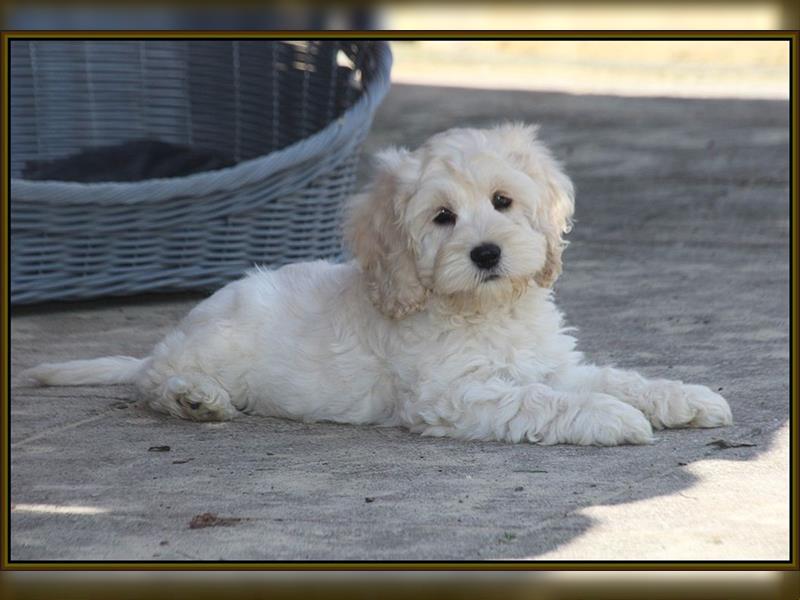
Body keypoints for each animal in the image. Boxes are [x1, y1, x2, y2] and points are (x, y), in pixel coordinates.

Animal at [25, 123, 732, 446]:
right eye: (442, 217)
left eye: (503, 201)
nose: (486, 253)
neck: (486, 310)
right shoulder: (454, 394)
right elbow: (543, 401)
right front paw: (612, 417)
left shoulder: (551, 364)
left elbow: (613, 377)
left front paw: (683, 397)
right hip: (209, 347)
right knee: (153, 381)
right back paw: (196, 398)